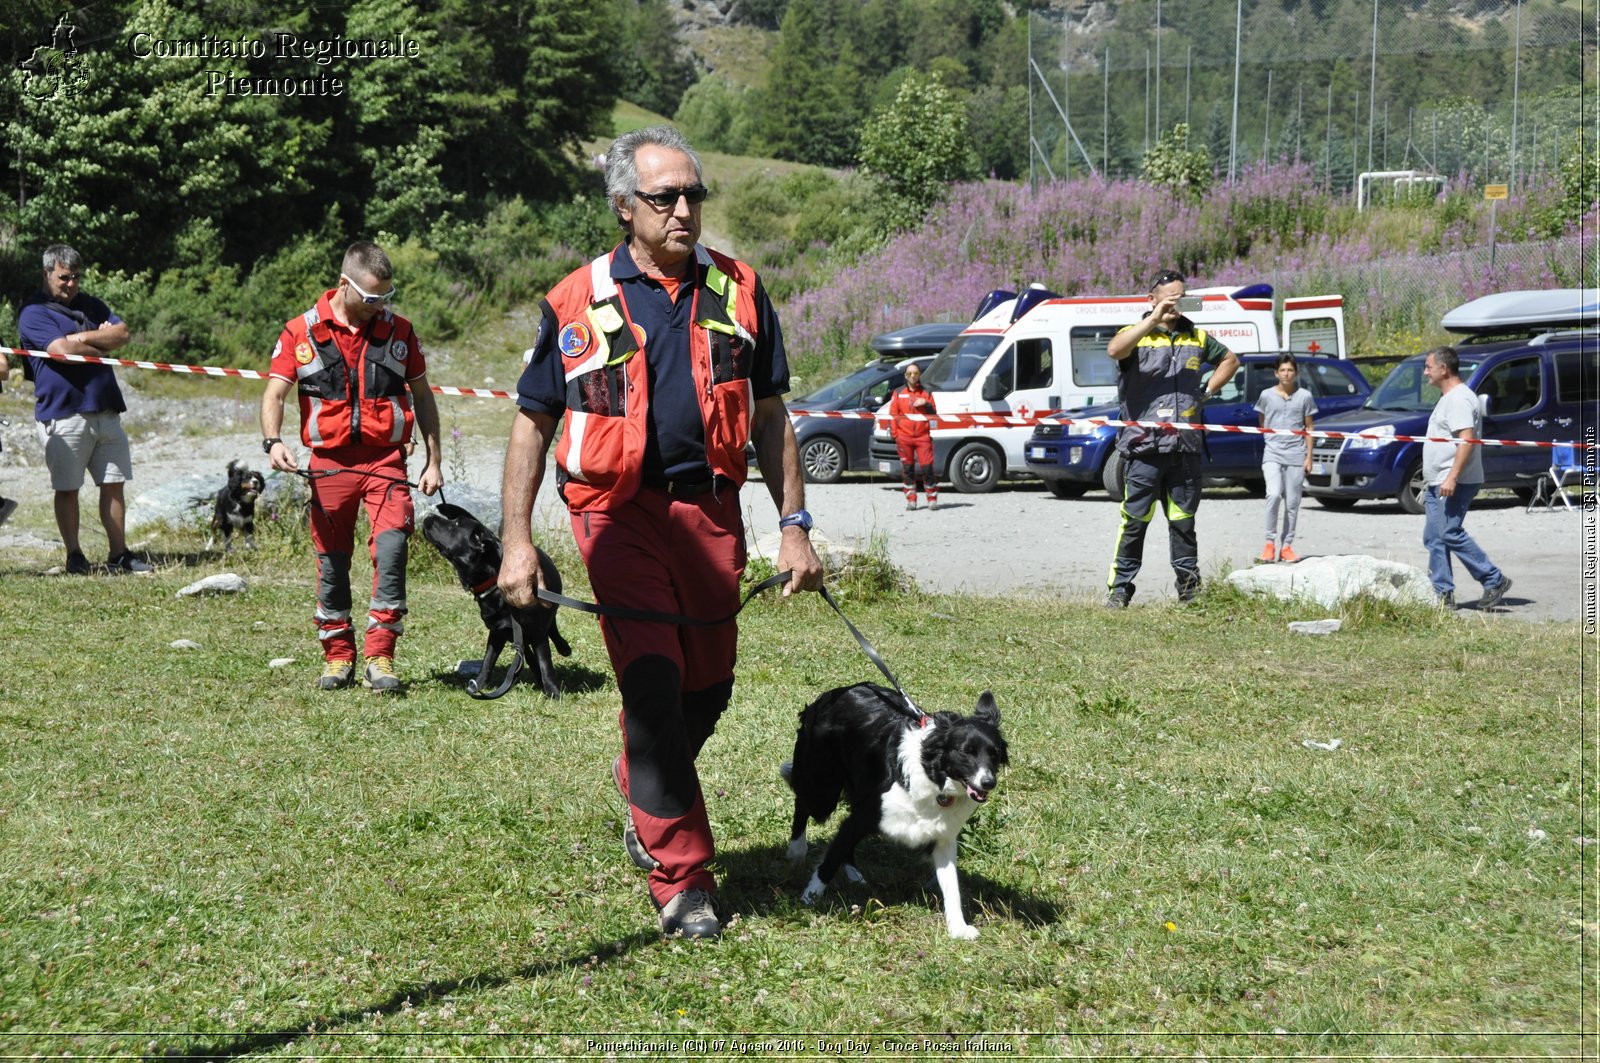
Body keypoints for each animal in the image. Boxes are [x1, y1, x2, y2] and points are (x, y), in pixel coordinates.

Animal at [422, 505, 572, 701]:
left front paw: (553, 691)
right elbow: (488, 660)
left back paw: (563, 648)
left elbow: (545, 663)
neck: (494, 581)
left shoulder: (537, 632)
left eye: (455, 524)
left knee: (552, 628)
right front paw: (477, 685)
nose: (428, 517)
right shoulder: (497, 631)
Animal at [780, 681, 1004, 941]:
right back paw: (796, 850)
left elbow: (952, 886)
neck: (932, 776)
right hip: (823, 790)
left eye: (994, 754)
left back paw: (855, 876)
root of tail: (833, 693)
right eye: (965, 751)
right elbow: (830, 861)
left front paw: (958, 927)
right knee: (803, 803)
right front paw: (809, 899)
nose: (988, 782)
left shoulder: (943, 837)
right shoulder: (866, 814)